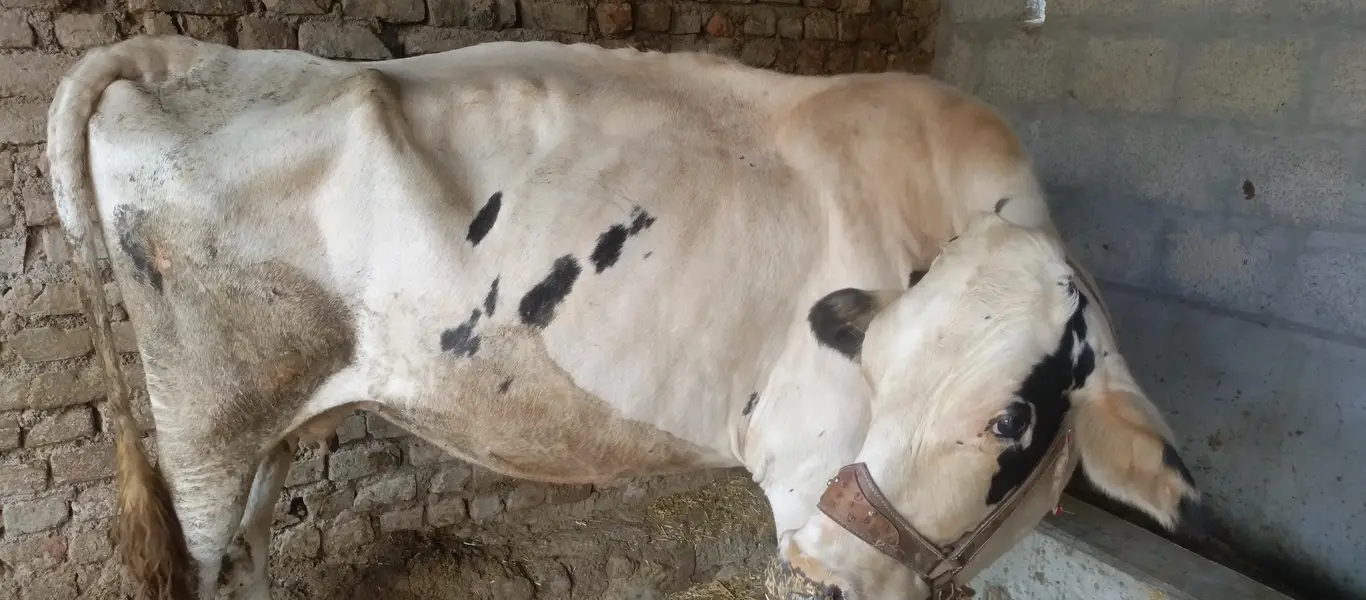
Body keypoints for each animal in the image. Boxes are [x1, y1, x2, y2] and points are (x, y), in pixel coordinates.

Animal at [46, 34, 1206, 600]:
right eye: (873, 366)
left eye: (1009, 418)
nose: (823, 571)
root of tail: (188, 54)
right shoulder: (811, 496)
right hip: (205, 423)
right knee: (202, 560)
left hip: (268, 424)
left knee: (247, 552)